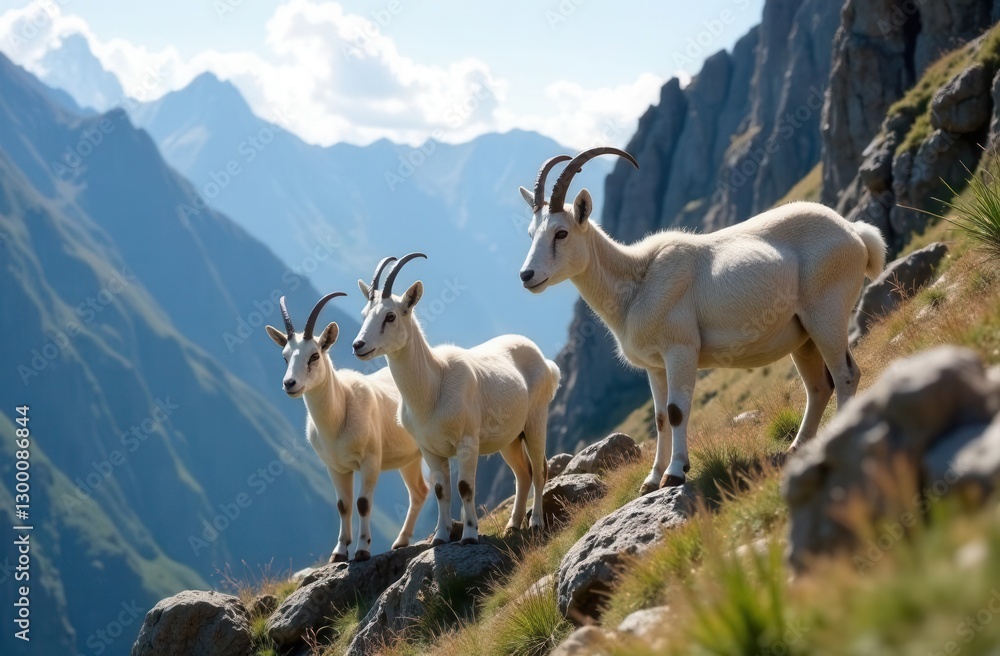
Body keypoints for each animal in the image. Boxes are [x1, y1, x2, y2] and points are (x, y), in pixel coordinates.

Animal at [265, 292, 427, 561]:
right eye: (285, 356)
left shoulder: (370, 461)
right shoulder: (336, 467)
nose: (290, 383)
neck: (339, 415)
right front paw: (339, 552)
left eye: (314, 355)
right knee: (419, 492)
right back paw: (401, 541)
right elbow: (344, 505)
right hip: (409, 459)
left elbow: (362, 503)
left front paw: (362, 550)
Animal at [351, 254, 561, 545]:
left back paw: (537, 522)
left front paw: (470, 535)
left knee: (540, 469)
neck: (432, 388)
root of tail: (545, 362)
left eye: (390, 315)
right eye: (364, 314)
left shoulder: (467, 442)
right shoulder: (430, 449)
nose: (358, 345)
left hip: (535, 421)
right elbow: (442, 490)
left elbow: (465, 486)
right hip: (510, 437)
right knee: (523, 473)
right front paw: (440, 537)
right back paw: (513, 525)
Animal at [517, 147, 887, 494]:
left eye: (561, 233)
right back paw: (797, 447)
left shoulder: (680, 350)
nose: (527, 275)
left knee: (846, 374)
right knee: (819, 386)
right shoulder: (655, 366)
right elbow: (660, 418)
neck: (638, 280)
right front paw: (651, 480)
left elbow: (677, 410)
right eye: (531, 232)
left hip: (826, 315)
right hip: (802, 336)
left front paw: (675, 473)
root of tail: (855, 233)